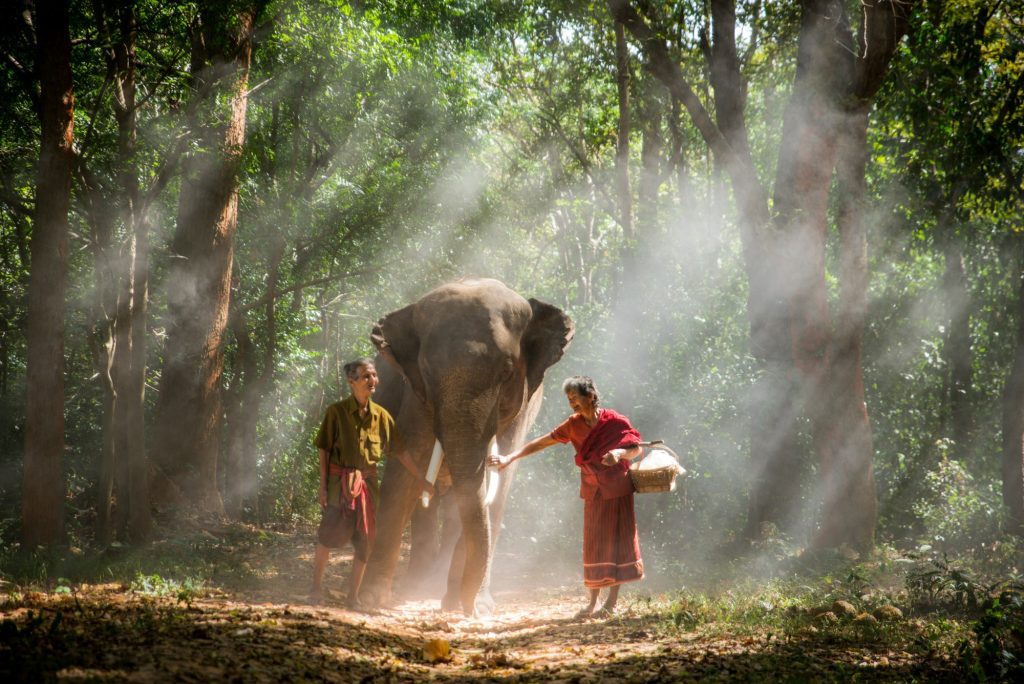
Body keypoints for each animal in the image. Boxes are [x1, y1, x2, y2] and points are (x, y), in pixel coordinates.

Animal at [360, 278, 573, 614]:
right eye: (427, 372)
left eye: (506, 372)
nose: (468, 608)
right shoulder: (415, 398)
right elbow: (404, 476)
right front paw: (369, 601)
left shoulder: (521, 408)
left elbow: (495, 487)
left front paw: (475, 606)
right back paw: (416, 587)